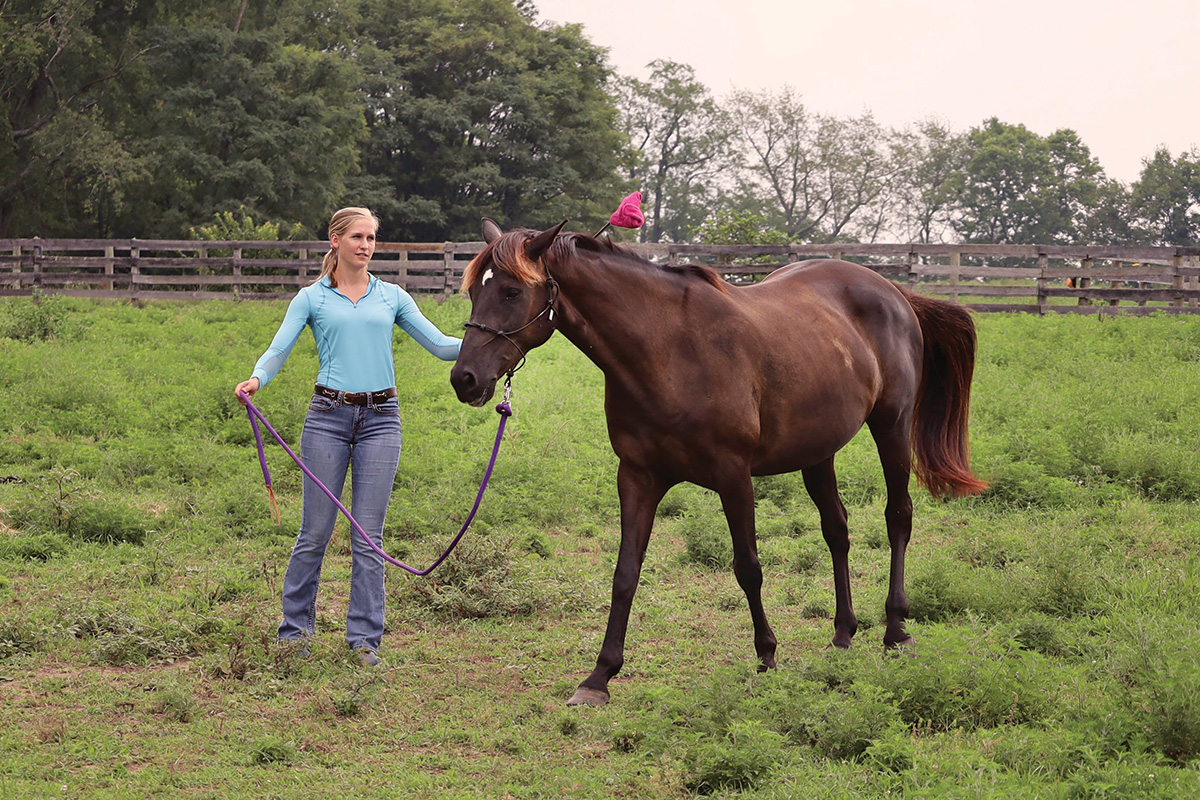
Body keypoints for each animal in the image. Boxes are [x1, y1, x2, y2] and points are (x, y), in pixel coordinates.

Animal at [450, 220, 987, 707]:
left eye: (512, 291)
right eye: (474, 292)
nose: (465, 379)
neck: (666, 350)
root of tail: (893, 291)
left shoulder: (733, 476)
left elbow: (748, 567)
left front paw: (767, 656)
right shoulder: (637, 477)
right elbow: (625, 574)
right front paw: (599, 676)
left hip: (891, 426)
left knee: (898, 517)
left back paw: (895, 629)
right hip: (817, 451)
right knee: (837, 529)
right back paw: (842, 633)